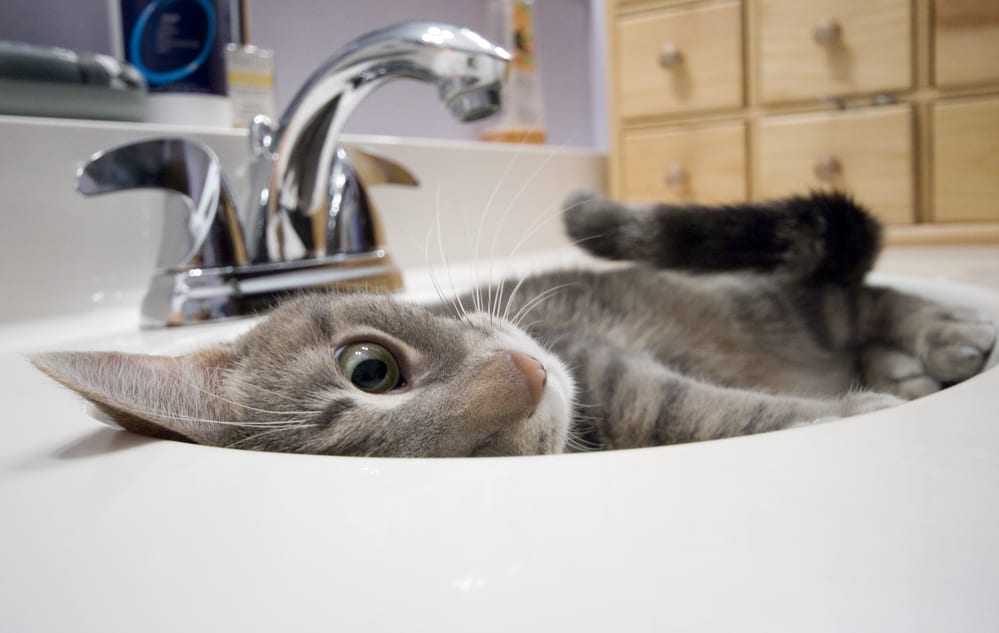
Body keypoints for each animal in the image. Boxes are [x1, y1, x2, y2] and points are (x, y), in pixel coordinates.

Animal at [27, 190, 996, 456]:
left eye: (369, 368)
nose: (527, 380)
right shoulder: (625, 394)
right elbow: (709, 412)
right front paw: (860, 406)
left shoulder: (601, 362)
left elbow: (695, 403)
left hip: (758, 290)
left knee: (868, 296)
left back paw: (943, 337)